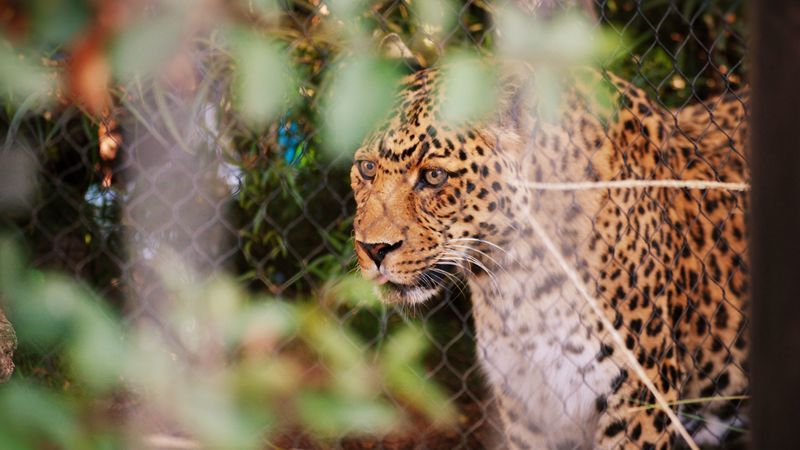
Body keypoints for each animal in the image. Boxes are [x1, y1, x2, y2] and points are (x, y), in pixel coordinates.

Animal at [350, 64, 749, 450]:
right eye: (367, 168)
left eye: (434, 176)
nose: (373, 249)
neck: (518, 279)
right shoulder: (528, 403)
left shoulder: (640, 397)